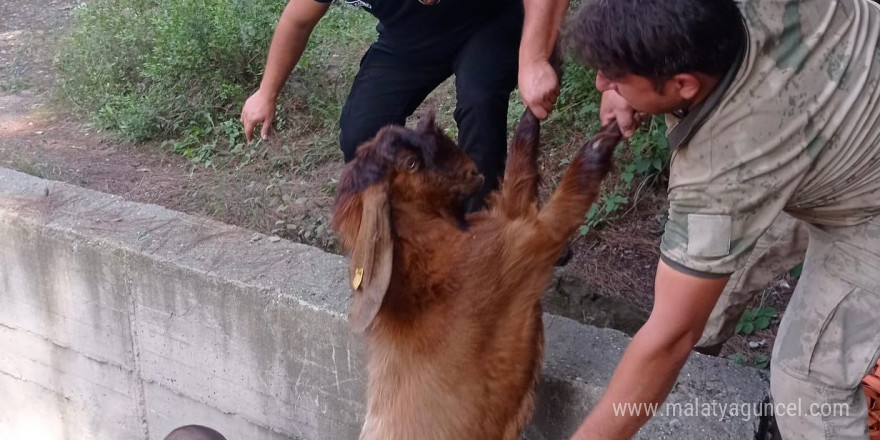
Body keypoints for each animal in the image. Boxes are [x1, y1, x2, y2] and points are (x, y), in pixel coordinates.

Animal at [332, 107, 624, 440]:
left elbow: (517, 179)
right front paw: (606, 137)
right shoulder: (519, 248)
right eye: (411, 163)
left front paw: (530, 114)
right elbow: (564, 204)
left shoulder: (501, 223)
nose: (472, 171)